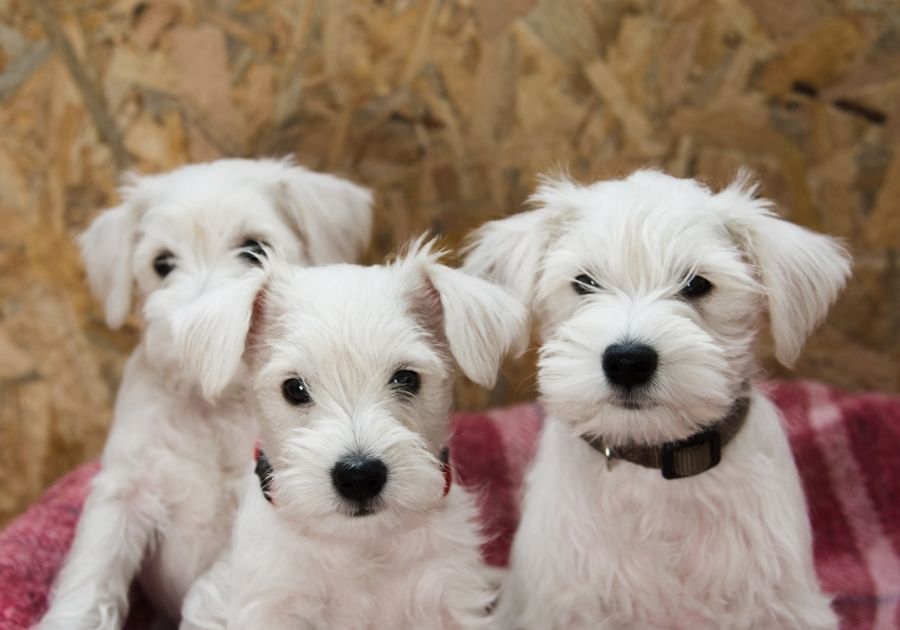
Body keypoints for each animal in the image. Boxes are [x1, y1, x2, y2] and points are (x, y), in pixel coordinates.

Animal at [39, 159, 372, 630]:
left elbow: (208, 592)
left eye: (254, 249)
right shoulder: (124, 491)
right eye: (162, 262)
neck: (209, 402)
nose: (191, 331)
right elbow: (92, 575)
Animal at [173, 239, 524, 628]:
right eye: (294, 388)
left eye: (407, 378)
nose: (359, 476)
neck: (360, 545)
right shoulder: (275, 605)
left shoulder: (446, 595)